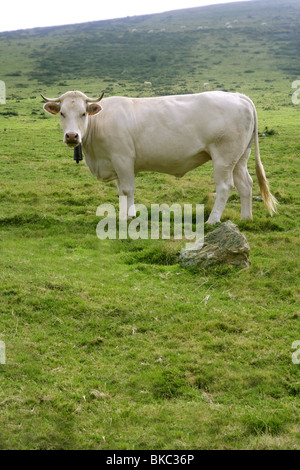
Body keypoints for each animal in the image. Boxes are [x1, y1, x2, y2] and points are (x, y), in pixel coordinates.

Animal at [41, 92, 278, 225]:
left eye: (83, 113)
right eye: (62, 113)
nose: (72, 136)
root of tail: (238, 96)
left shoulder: (123, 158)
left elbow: (127, 190)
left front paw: (127, 217)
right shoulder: (114, 164)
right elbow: (121, 192)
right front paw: (126, 213)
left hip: (224, 156)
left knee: (225, 186)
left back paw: (212, 220)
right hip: (240, 157)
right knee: (245, 184)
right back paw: (246, 218)